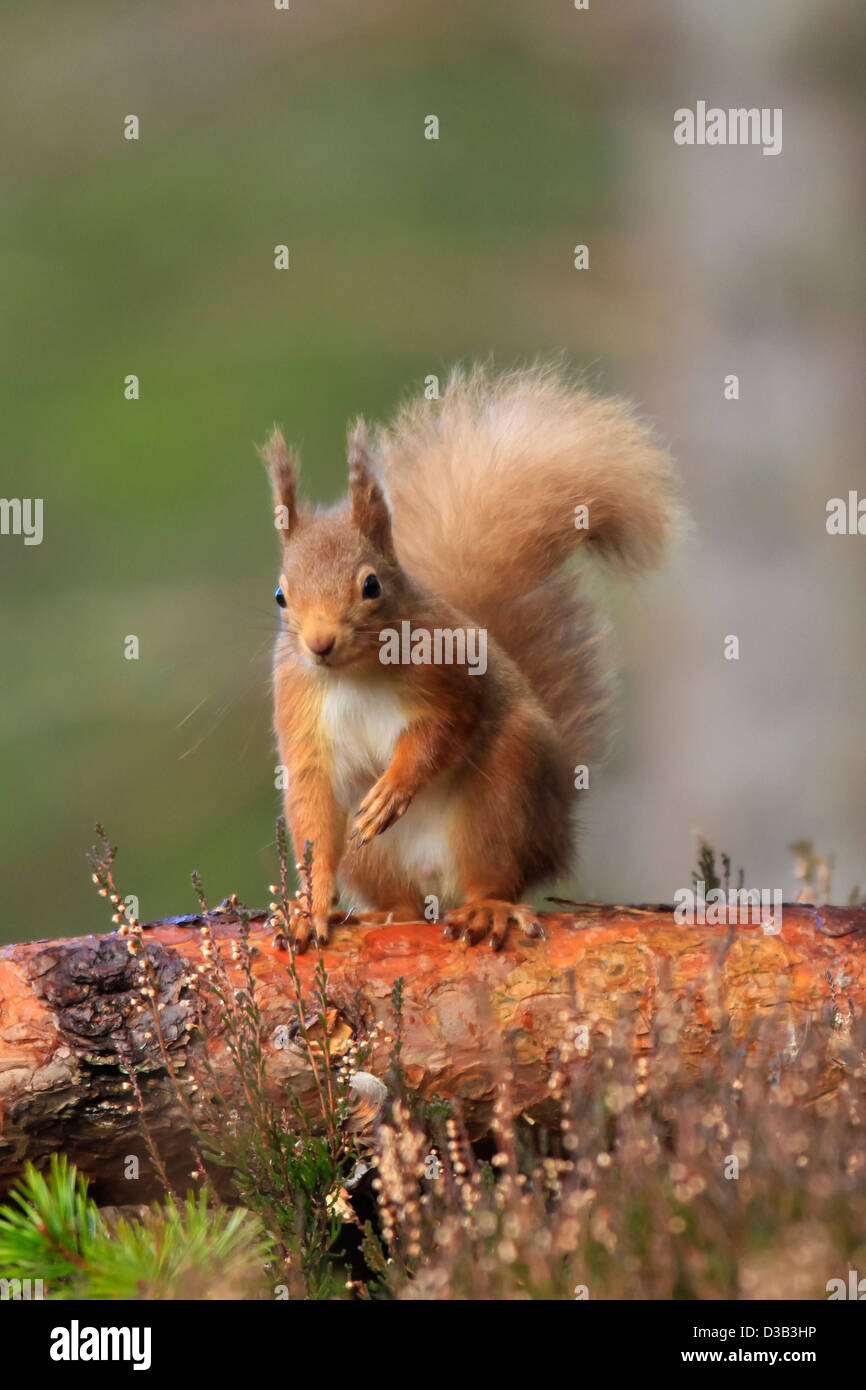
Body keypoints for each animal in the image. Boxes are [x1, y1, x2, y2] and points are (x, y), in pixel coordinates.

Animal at [257, 358, 678, 950]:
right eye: (280, 595)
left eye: (371, 586)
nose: (319, 645)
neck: (353, 673)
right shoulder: (299, 705)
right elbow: (312, 808)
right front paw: (308, 909)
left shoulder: (449, 670)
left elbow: (446, 727)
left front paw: (395, 788)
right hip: (375, 860)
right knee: (404, 901)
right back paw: (380, 915)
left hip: (503, 796)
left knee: (493, 876)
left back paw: (486, 910)